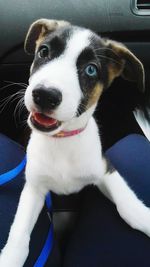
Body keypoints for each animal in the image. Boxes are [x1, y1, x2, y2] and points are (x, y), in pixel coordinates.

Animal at [0, 18, 150, 266]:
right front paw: (10, 258)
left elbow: (127, 206)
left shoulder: (103, 168)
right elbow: (19, 236)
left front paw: (145, 218)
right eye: (44, 51)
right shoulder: (34, 187)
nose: (45, 95)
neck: (62, 141)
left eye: (91, 69)